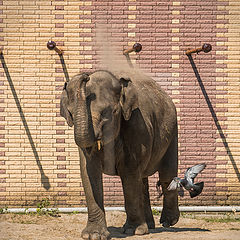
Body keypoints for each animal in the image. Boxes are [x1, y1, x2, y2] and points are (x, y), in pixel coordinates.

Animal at [60, 68, 180, 239]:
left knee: (166, 176)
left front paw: (133, 231)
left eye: (107, 112)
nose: (84, 76)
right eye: (70, 113)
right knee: (142, 180)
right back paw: (150, 225)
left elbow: (129, 172)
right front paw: (93, 235)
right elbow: (89, 171)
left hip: (172, 132)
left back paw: (168, 222)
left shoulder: (137, 124)